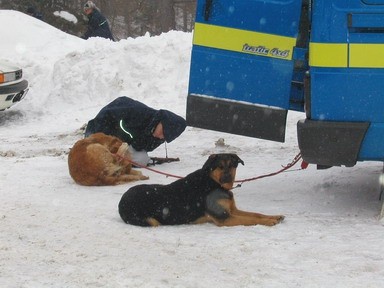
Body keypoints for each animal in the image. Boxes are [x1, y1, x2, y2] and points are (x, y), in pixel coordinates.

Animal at [118, 154, 284, 226]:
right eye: (220, 166)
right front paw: (269, 222)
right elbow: (251, 219)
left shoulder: (232, 210)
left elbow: (256, 214)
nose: (227, 177)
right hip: (151, 221)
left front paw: (274, 216)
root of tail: (121, 202)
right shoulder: (224, 217)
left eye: (232, 165)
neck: (214, 183)